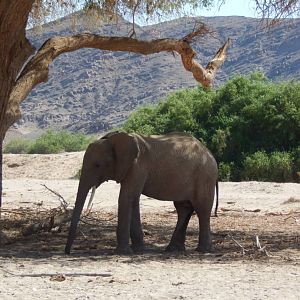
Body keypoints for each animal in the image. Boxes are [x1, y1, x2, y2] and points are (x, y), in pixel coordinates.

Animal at [64, 132, 218, 255]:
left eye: (97, 165)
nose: (67, 252)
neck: (115, 139)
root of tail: (210, 154)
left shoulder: (138, 166)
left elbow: (126, 197)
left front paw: (123, 252)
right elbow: (133, 198)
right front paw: (138, 250)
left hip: (204, 176)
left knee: (201, 209)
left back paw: (203, 250)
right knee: (183, 209)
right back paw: (173, 249)